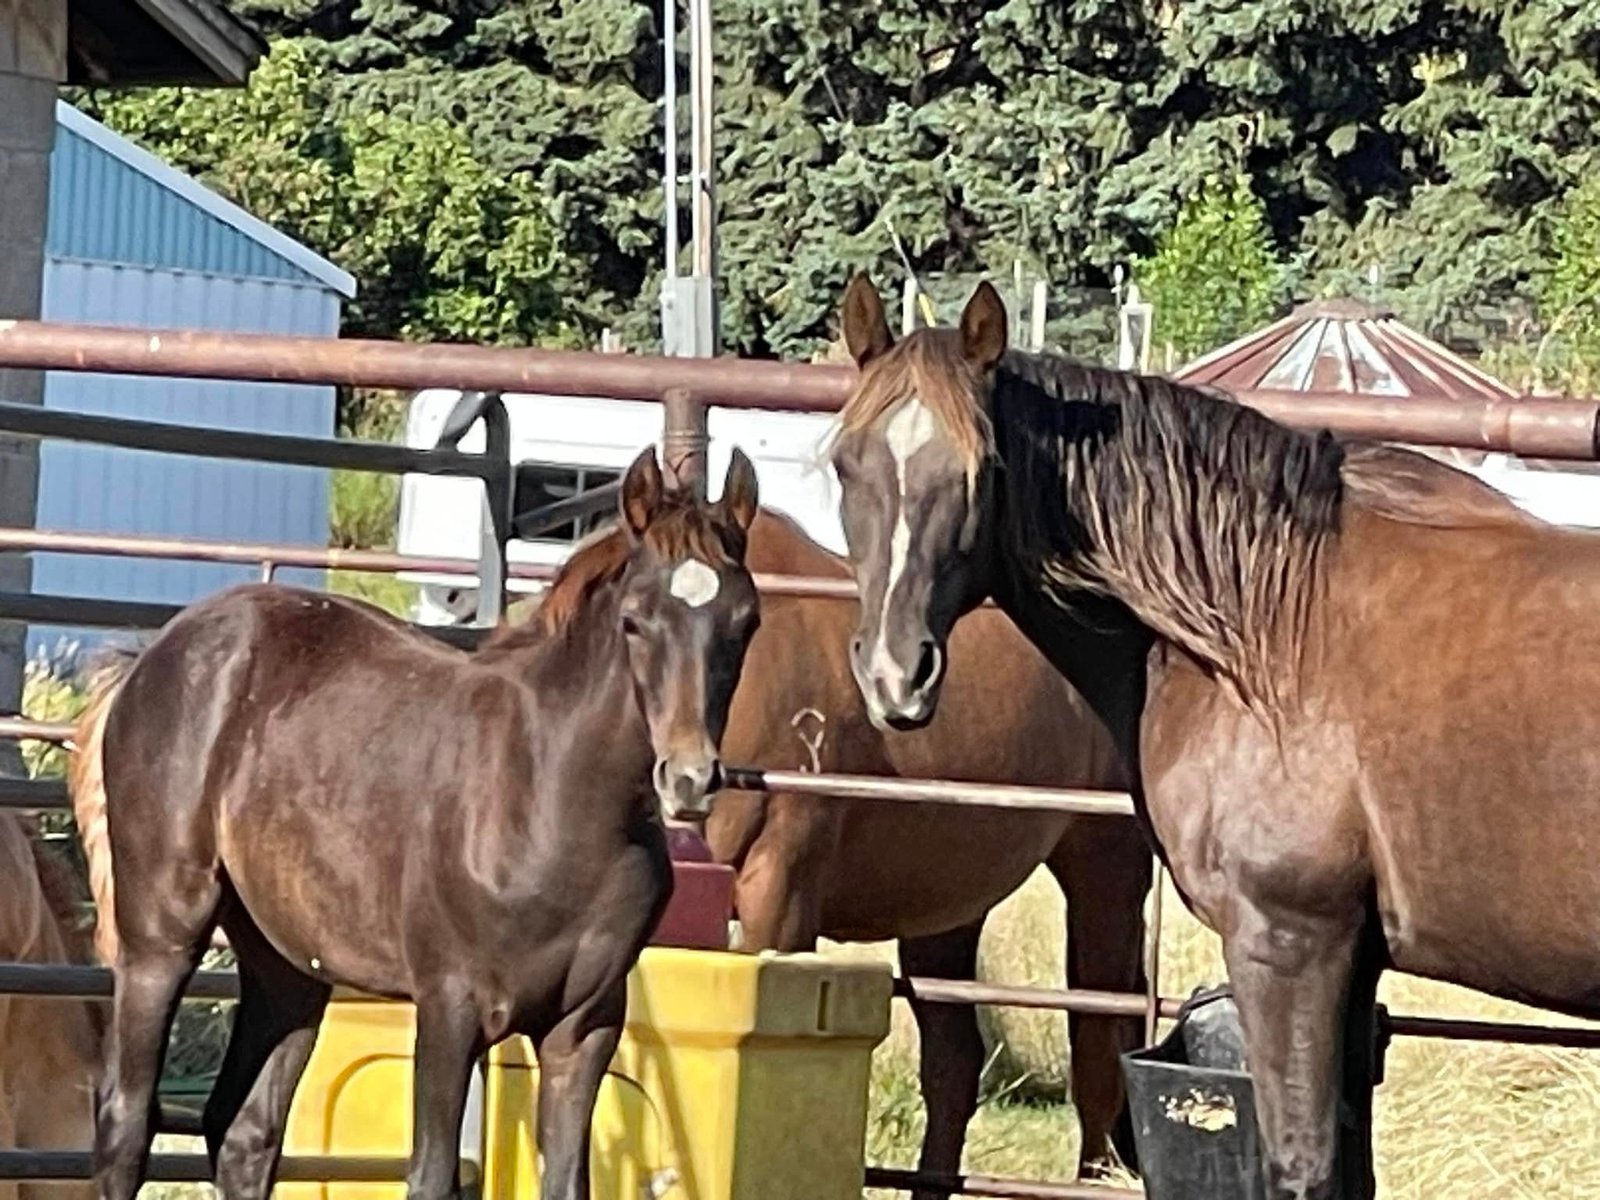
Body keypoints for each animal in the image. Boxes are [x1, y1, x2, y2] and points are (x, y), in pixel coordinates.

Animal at [68, 447, 761, 1200]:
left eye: (746, 622)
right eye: (635, 620)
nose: (689, 778)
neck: (549, 800)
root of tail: (158, 652)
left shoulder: (585, 1028)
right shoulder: (449, 1007)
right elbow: (430, 1175)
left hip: (286, 961)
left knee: (245, 1130)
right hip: (161, 932)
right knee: (126, 1120)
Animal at [826, 274, 1600, 1200]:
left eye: (983, 472)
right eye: (845, 463)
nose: (895, 676)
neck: (1264, 628)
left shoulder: (1286, 943)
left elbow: (1300, 1166)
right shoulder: (1352, 959)